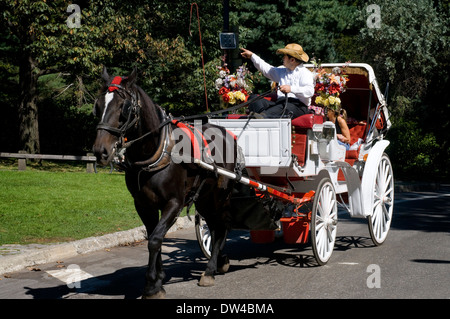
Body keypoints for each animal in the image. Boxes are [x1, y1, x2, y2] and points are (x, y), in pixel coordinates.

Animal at [92, 68, 237, 300]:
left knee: (222, 225)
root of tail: (226, 133)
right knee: (214, 226)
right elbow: (153, 237)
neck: (156, 150)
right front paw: (158, 279)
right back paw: (219, 261)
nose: (100, 151)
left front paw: (152, 285)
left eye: (124, 107)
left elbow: (155, 239)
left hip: (220, 195)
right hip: (204, 198)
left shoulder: (174, 203)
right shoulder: (143, 205)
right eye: (98, 106)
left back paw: (210, 270)